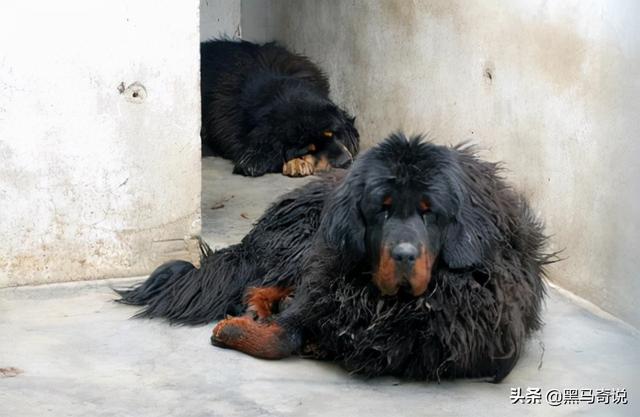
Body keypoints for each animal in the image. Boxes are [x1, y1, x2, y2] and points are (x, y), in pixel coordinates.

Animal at [117, 133, 552, 380]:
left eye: (430, 211)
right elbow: (283, 335)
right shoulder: (324, 286)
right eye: (381, 209)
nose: (403, 255)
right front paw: (237, 330)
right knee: (263, 280)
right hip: (304, 241)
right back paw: (259, 308)